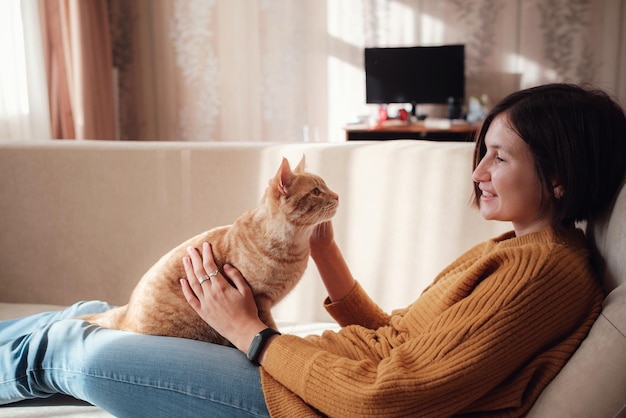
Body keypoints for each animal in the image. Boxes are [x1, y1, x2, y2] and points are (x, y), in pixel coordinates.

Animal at [82, 155, 338, 344]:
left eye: (326, 186)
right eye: (316, 191)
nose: (337, 195)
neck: (295, 247)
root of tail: (126, 312)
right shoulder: (260, 300)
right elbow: (269, 326)